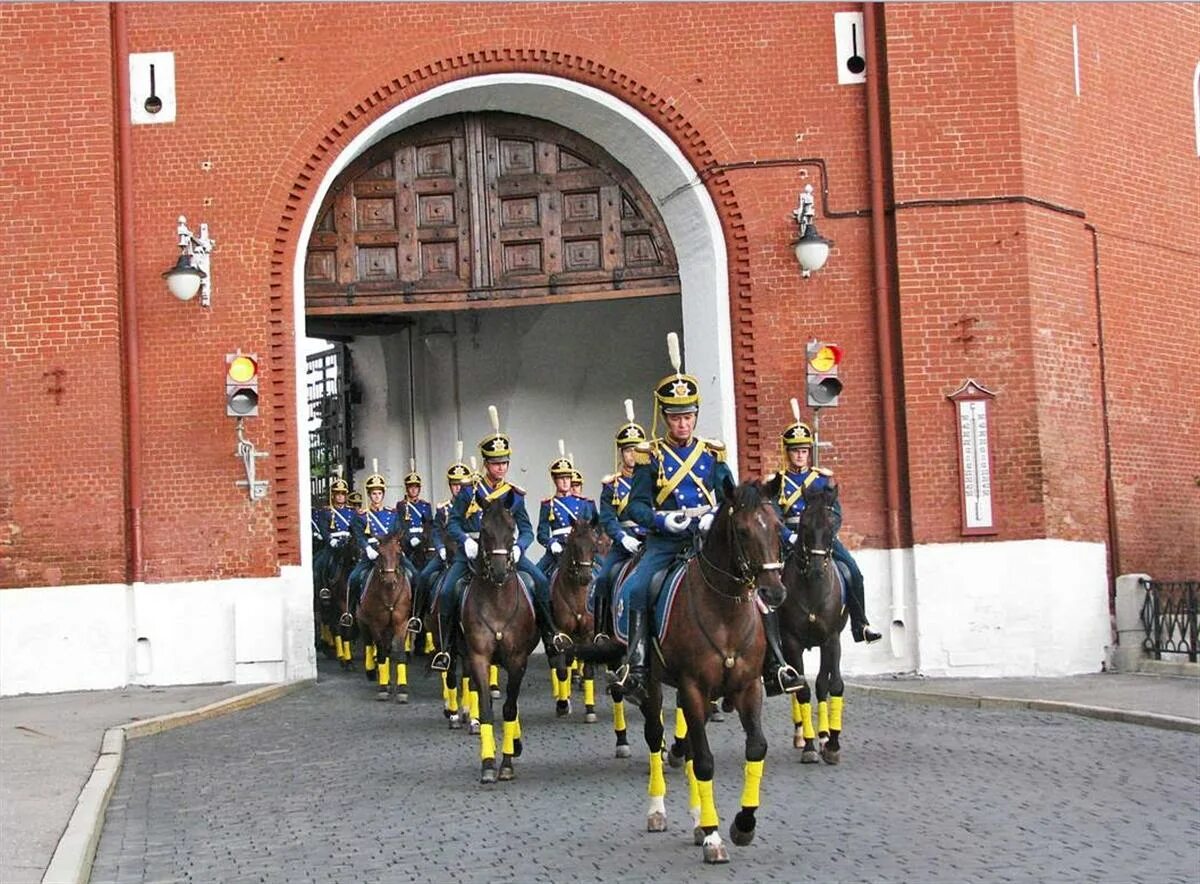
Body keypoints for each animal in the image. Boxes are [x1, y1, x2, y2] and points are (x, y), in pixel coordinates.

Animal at [352, 530, 415, 705]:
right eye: (379, 553)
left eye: (398, 552)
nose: (389, 580)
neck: (389, 594)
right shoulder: (375, 624)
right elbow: (380, 653)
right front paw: (383, 689)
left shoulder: (401, 624)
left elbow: (399, 653)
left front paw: (402, 690)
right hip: (363, 622)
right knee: (370, 644)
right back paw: (374, 673)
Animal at [458, 494, 540, 782]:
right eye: (484, 530)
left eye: (512, 528)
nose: (499, 570)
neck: (496, 600)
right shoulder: (478, 657)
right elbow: (486, 709)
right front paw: (488, 764)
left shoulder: (517, 659)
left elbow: (509, 709)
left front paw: (506, 763)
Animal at [549, 518, 604, 719]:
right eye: (574, 545)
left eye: (594, 546)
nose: (585, 577)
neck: (576, 594)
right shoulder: (562, 632)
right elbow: (562, 670)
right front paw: (563, 704)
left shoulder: (588, 632)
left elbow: (587, 669)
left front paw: (590, 709)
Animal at [578, 474, 787, 863]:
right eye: (743, 530)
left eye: (778, 527)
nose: (774, 592)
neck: (725, 610)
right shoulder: (693, 688)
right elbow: (703, 761)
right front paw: (713, 837)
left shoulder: (748, 687)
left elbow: (755, 748)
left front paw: (742, 824)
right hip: (653, 683)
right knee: (656, 736)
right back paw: (659, 811)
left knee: (686, 743)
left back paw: (696, 817)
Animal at [777, 479, 854, 762]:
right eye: (804, 526)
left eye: (832, 525)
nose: (816, 570)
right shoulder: (791, 642)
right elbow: (802, 690)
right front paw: (810, 745)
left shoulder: (831, 639)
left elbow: (831, 685)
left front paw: (831, 741)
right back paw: (802, 735)